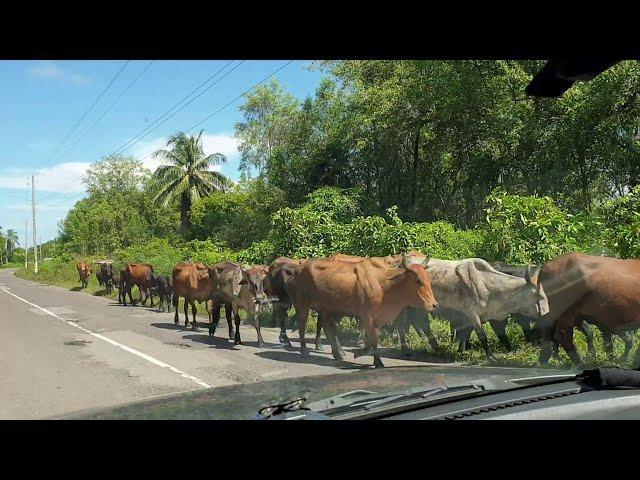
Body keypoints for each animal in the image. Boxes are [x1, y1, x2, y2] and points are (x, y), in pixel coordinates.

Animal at [292, 258, 438, 368]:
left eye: (429, 279)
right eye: (418, 280)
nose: (434, 305)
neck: (385, 285)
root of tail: (302, 266)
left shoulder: (377, 320)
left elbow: (372, 341)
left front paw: (366, 355)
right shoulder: (367, 317)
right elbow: (372, 342)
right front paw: (374, 360)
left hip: (326, 309)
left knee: (329, 329)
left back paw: (337, 354)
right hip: (303, 304)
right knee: (302, 325)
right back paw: (304, 350)